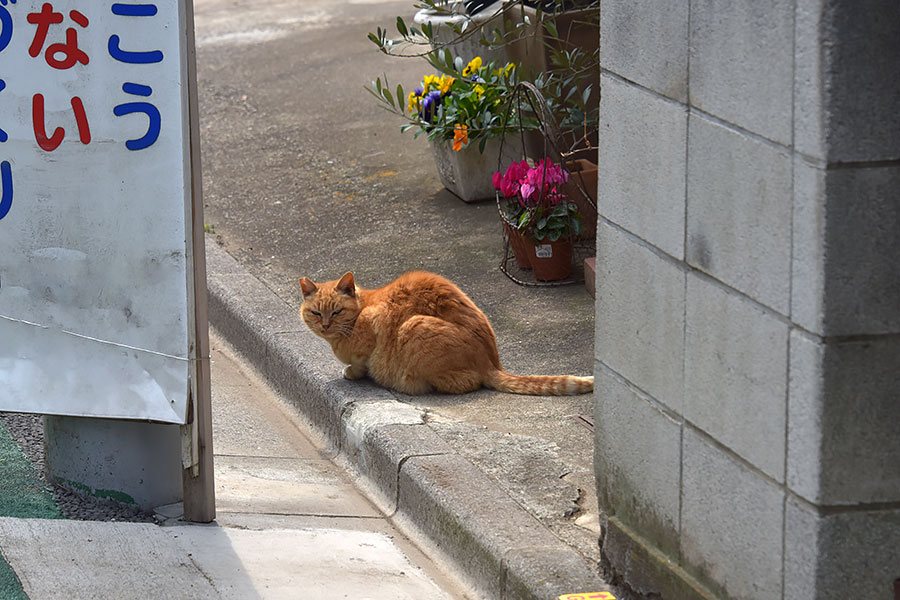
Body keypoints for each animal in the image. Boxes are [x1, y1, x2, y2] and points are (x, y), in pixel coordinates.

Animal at [298, 270, 596, 396]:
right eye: (316, 313)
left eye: (336, 312)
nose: (325, 325)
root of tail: (492, 362)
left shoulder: (375, 322)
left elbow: (360, 362)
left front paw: (353, 372)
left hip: (414, 327)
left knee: (466, 383)